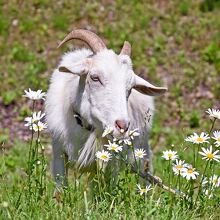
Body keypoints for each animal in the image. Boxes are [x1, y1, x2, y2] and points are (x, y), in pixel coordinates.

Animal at [45, 29, 167, 192]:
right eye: (95, 77)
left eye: (130, 88)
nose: (122, 126)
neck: (84, 127)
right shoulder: (58, 150)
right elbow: (60, 190)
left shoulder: (110, 161)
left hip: (142, 150)